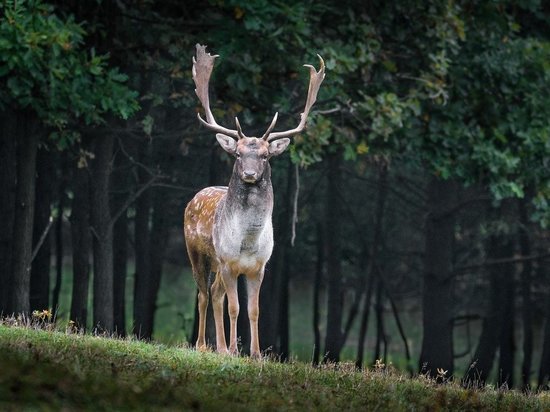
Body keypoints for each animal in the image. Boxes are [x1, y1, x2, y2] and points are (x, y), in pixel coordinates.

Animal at [185, 42, 326, 358]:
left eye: (264, 155)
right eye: (238, 153)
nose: (249, 174)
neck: (247, 242)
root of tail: (194, 197)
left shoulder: (259, 267)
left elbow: (254, 310)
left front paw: (256, 354)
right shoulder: (228, 262)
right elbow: (234, 308)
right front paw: (234, 350)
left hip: (217, 265)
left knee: (214, 293)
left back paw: (219, 347)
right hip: (197, 253)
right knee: (203, 294)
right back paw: (203, 345)